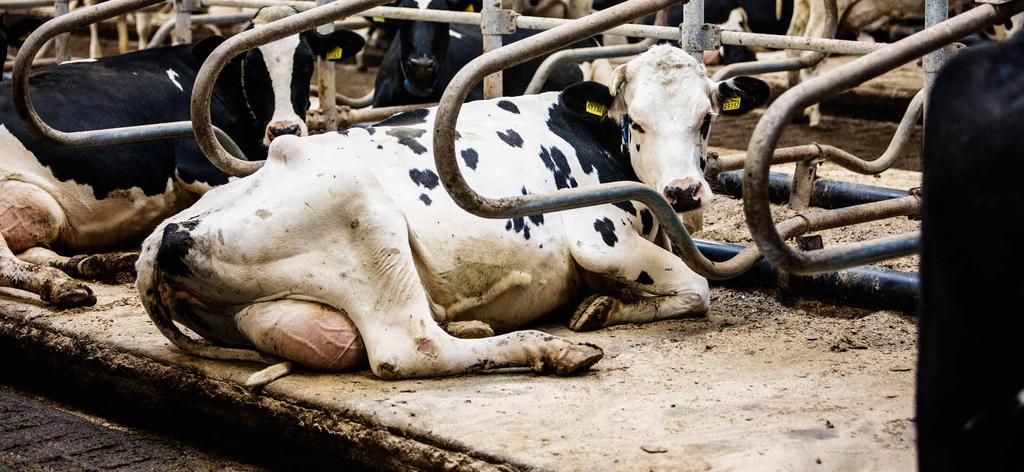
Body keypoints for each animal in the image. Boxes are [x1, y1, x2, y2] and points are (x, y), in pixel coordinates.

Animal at [0, 5, 366, 307]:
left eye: (306, 63)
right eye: (250, 66)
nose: (284, 129)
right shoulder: (196, 163)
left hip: (43, 208)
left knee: (35, 248)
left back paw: (98, 263)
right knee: (7, 261)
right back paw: (60, 285)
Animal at [134, 46, 770, 378]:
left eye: (707, 119)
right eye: (634, 120)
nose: (684, 192)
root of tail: (165, 236)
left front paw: (602, 303)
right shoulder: (598, 237)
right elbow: (696, 288)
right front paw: (603, 310)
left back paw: (473, 321)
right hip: (366, 217)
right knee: (410, 350)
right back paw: (550, 349)